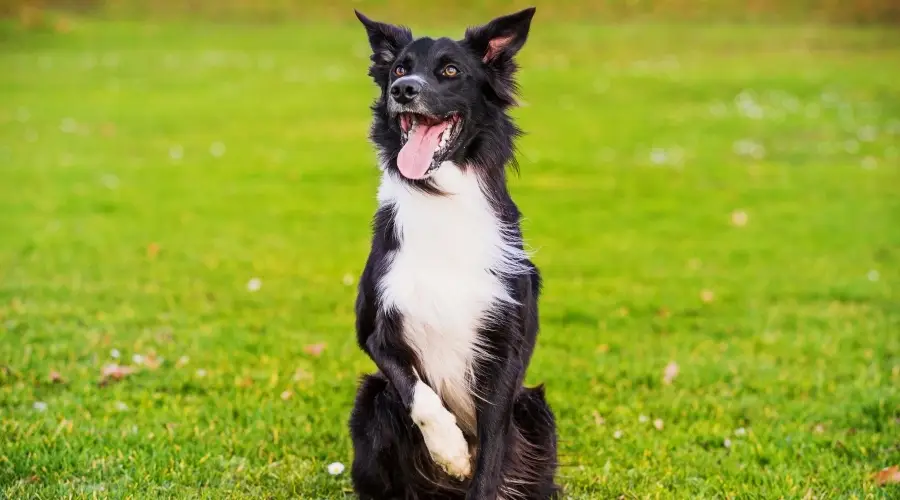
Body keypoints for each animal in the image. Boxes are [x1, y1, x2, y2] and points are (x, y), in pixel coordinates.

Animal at [348, 8, 560, 500]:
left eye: (449, 71)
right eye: (399, 69)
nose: (403, 91)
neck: (440, 194)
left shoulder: (505, 349)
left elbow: (491, 450)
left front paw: (469, 464)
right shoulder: (375, 329)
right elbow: (418, 393)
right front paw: (451, 451)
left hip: (537, 412)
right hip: (370, 405)